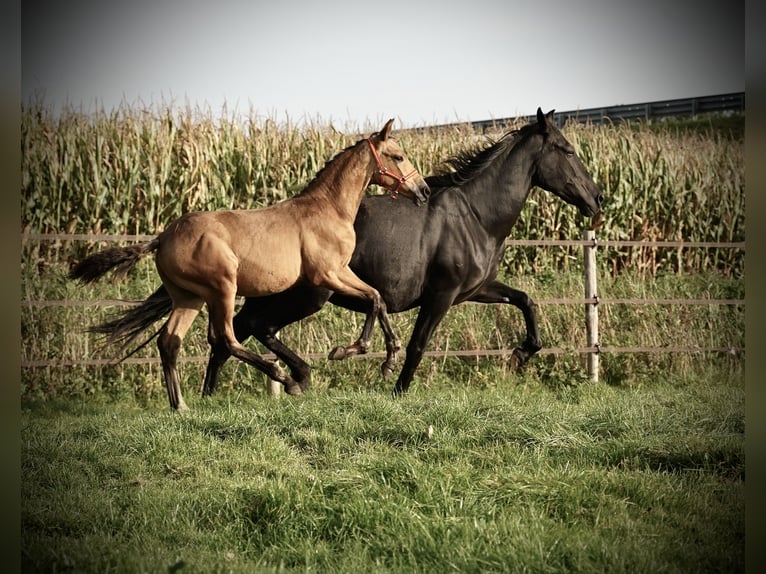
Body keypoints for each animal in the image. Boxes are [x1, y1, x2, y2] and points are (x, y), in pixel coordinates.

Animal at [70, 119, 432, 412]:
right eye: (398, 156)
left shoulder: (342, 273)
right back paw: (285, 378)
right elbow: (373, 299)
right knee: (224, 338)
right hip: (222, 289)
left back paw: (181, 406)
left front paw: (384, 357)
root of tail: (162, 238)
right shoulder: (328, 274)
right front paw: (352, 350)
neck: (328, 210)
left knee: (170, 341)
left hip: (189, 297)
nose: (424, 190)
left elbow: (377, 298)